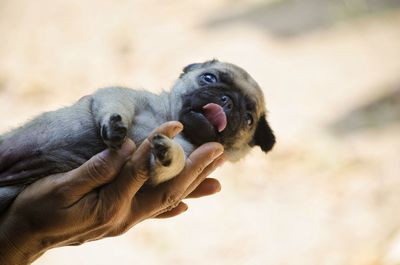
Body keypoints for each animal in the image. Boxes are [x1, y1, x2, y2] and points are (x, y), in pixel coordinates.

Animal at [0, 58, 276, 211]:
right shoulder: (122, 96)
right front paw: (115, 124)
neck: (166, 117)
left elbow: (171, 164)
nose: (227, 101)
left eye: (248, 118)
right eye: (209, 78)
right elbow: (118, 105)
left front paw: (168, 153)